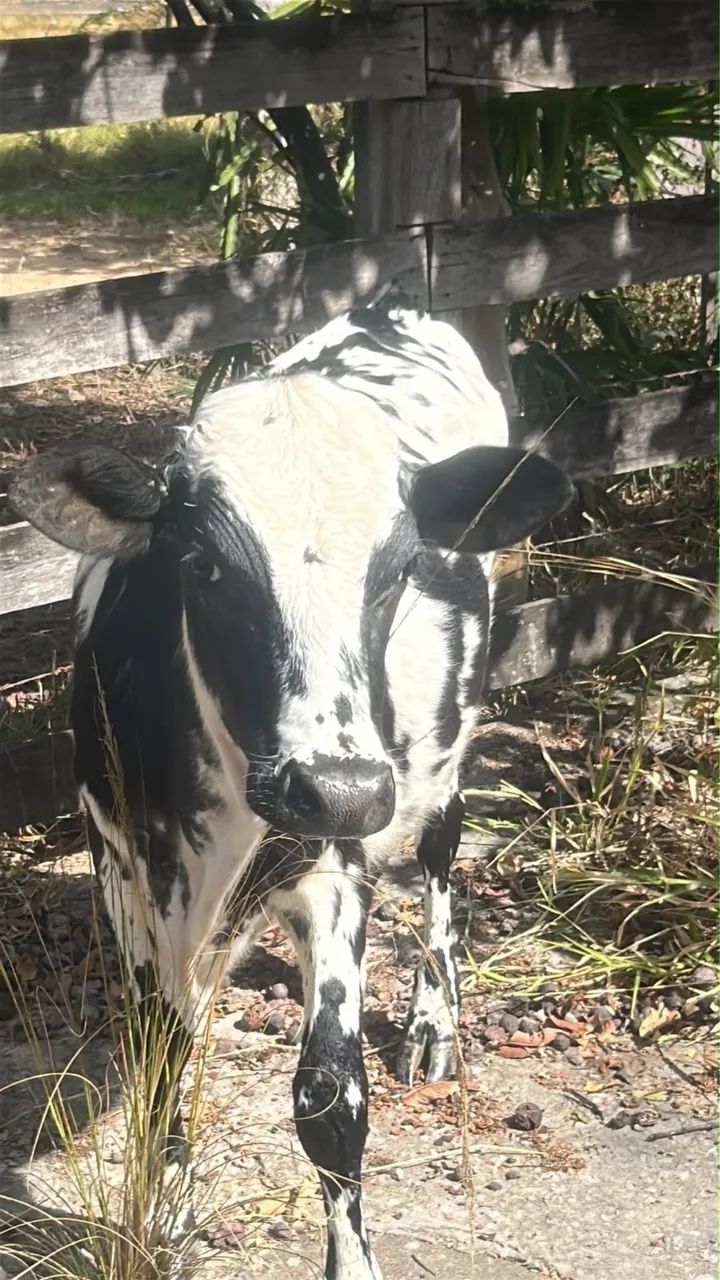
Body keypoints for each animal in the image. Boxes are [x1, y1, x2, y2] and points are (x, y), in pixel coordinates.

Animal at [9, 299, 572, 1280]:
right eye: (202, 565)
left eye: (399, 572)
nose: (336, 789)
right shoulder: (120, 866)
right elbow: (159, 1050)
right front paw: (169, 1201)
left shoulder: (333, 867)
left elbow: (329, 1101)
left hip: (442, 748)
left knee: (440, 852)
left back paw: (434, 1022)